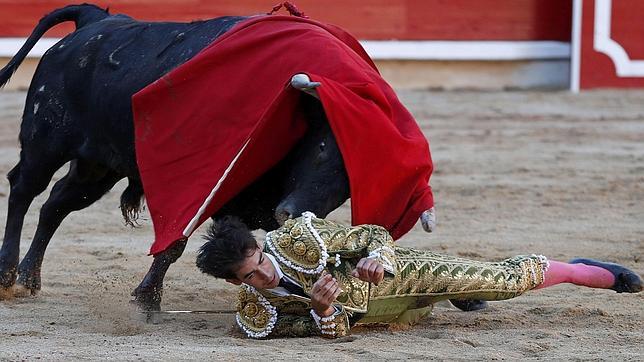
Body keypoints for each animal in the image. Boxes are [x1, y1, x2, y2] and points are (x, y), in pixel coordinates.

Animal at [0, 4, 350, 310]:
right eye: (320, 148)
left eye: (350, 181)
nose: (292, 213)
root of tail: (94, 21)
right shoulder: (196, 192)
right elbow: (175, 242)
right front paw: (146, 300)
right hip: (44, 144)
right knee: (22, 190)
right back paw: (7, 273)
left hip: (96, 168)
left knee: (55, 204)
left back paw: (29, 278)